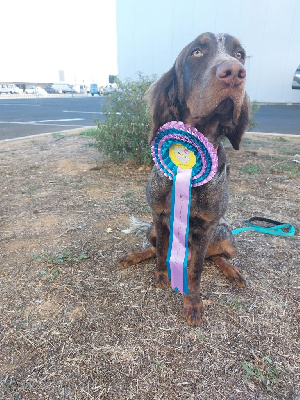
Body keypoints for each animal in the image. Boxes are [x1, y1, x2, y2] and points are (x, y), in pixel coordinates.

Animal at [119, 32, 248, 324]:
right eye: (196, 52)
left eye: (240, 55)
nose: (235, 72)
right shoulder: (158, 215)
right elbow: (160, 253)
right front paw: (160, 276)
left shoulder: (205, 229)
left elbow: (196, 270)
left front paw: (193, 303)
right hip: (151, 228)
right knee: (155, 248)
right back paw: (133, 256)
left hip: (227, 236)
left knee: (215, 257)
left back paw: (232, 271)